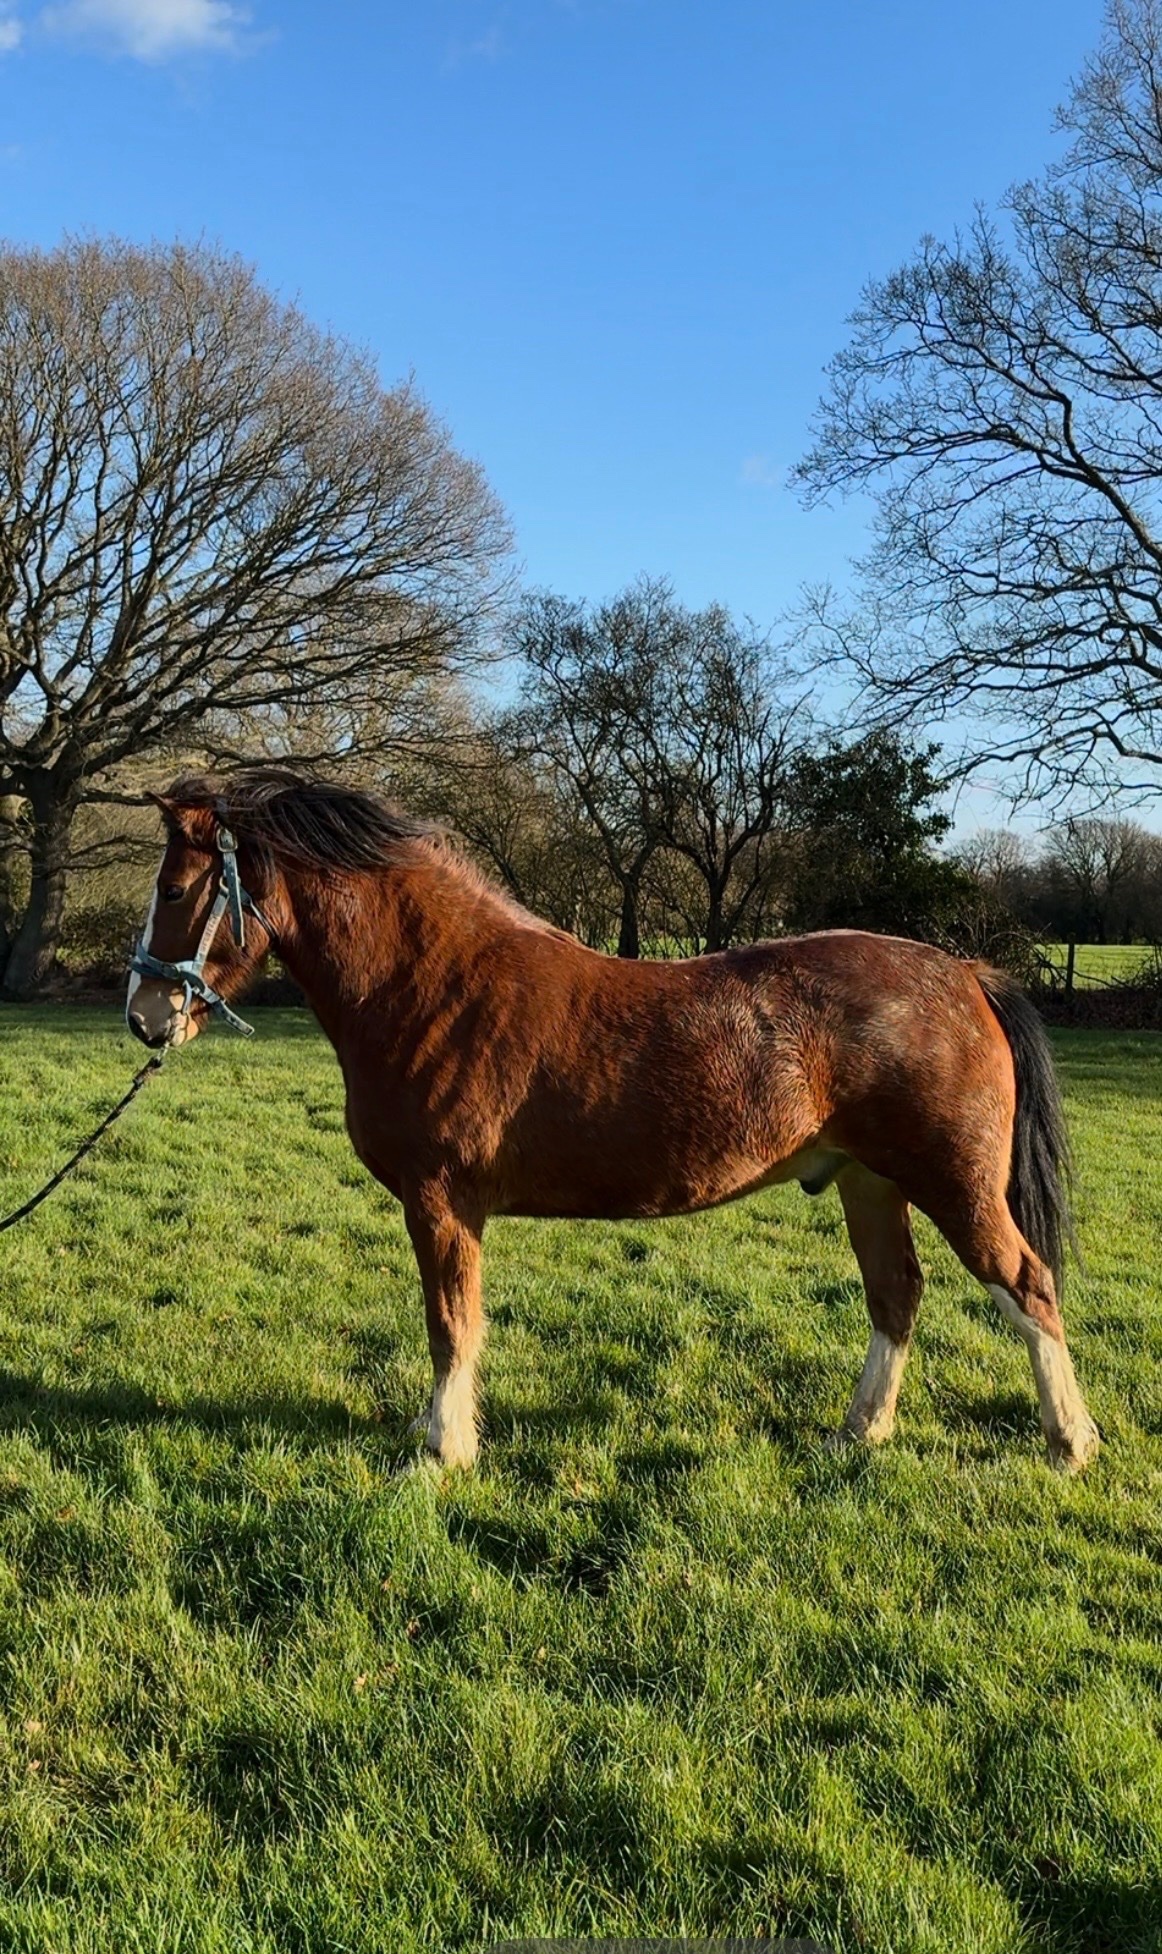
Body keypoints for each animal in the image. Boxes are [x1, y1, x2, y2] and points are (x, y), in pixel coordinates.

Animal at [125, 767, 1100, 1475]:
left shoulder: (441, 1204)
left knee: (1028, 1286)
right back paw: (859, 1433)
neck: (434, 987)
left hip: (954, 1184)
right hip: (870, 1182)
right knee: (897, 1295)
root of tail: (965, 973)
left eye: (174, 889)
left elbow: (451, 1324)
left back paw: (1070, 1443)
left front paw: (442, 1451)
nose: (143, 1016)